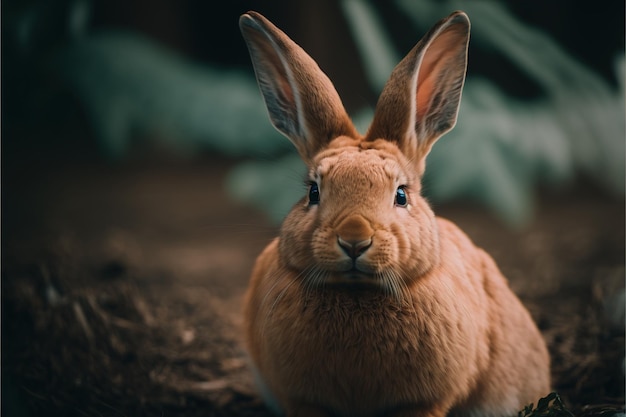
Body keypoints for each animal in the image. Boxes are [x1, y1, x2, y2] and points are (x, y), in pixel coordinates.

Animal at [238, 9, 544, 416]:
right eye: (313, 192)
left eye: (401, 195)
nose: (354, 240)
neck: (357, 293)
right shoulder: (304, 401)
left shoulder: (423, 402)